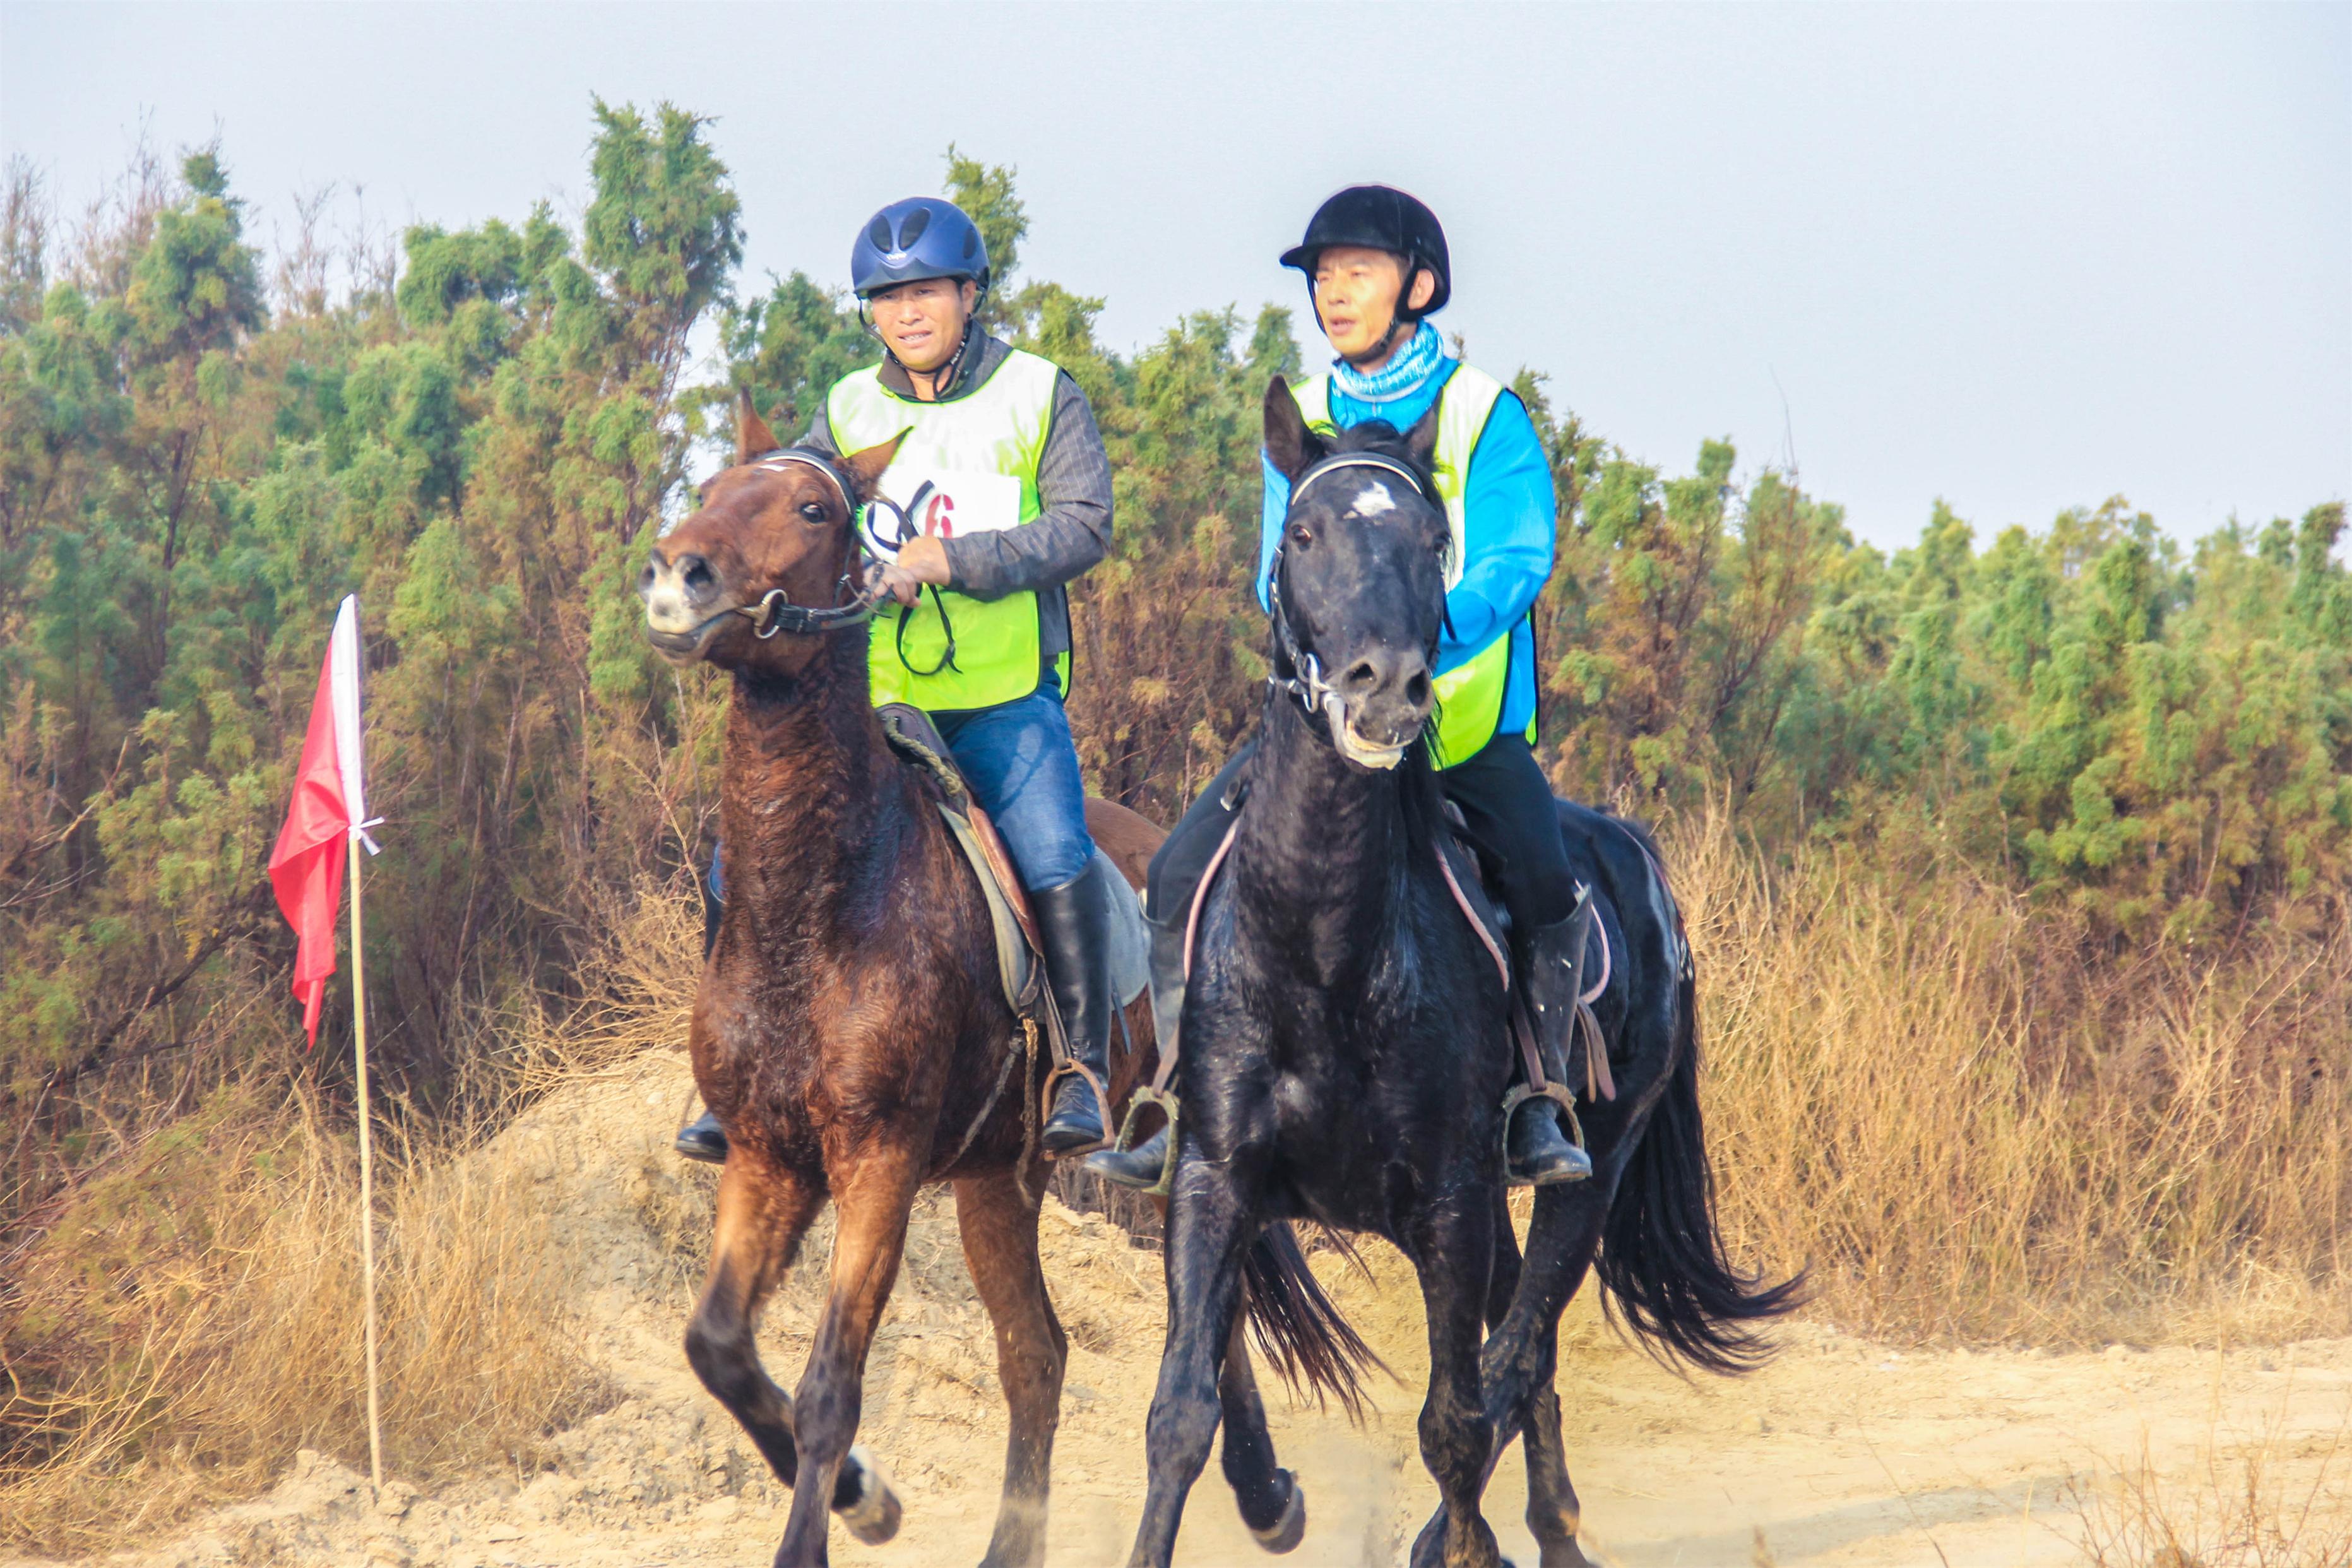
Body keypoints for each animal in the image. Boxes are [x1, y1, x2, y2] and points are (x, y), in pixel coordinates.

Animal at [644, 400, 1355, 1560]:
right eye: (713, 486)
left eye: (813, 508)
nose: (677, 576)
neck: (819, 902)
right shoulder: (763, 1155)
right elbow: (717, 1346)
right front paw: (867, 1494)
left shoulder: (878, 1160)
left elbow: (831, 1386)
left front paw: (841, 1509)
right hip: (997, 1180)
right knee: (1042, 1352)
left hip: (1164, 1150)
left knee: (1198, 1327)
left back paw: (1262, 1493)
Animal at [1124, 383, 1797, 1568]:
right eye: (1302, 534)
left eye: (1430, 541)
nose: (1385, 690)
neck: (1327, 955)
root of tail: (1637, 856)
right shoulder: (1215, 1178)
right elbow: (1181, 1413)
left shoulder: (1449, 1198)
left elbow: (1453, 1415)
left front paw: (1465, 1541)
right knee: (1520, 1354)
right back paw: (1546, 1525)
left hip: (1581, 1171)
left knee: (1517, 1353)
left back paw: (1512, 1533)